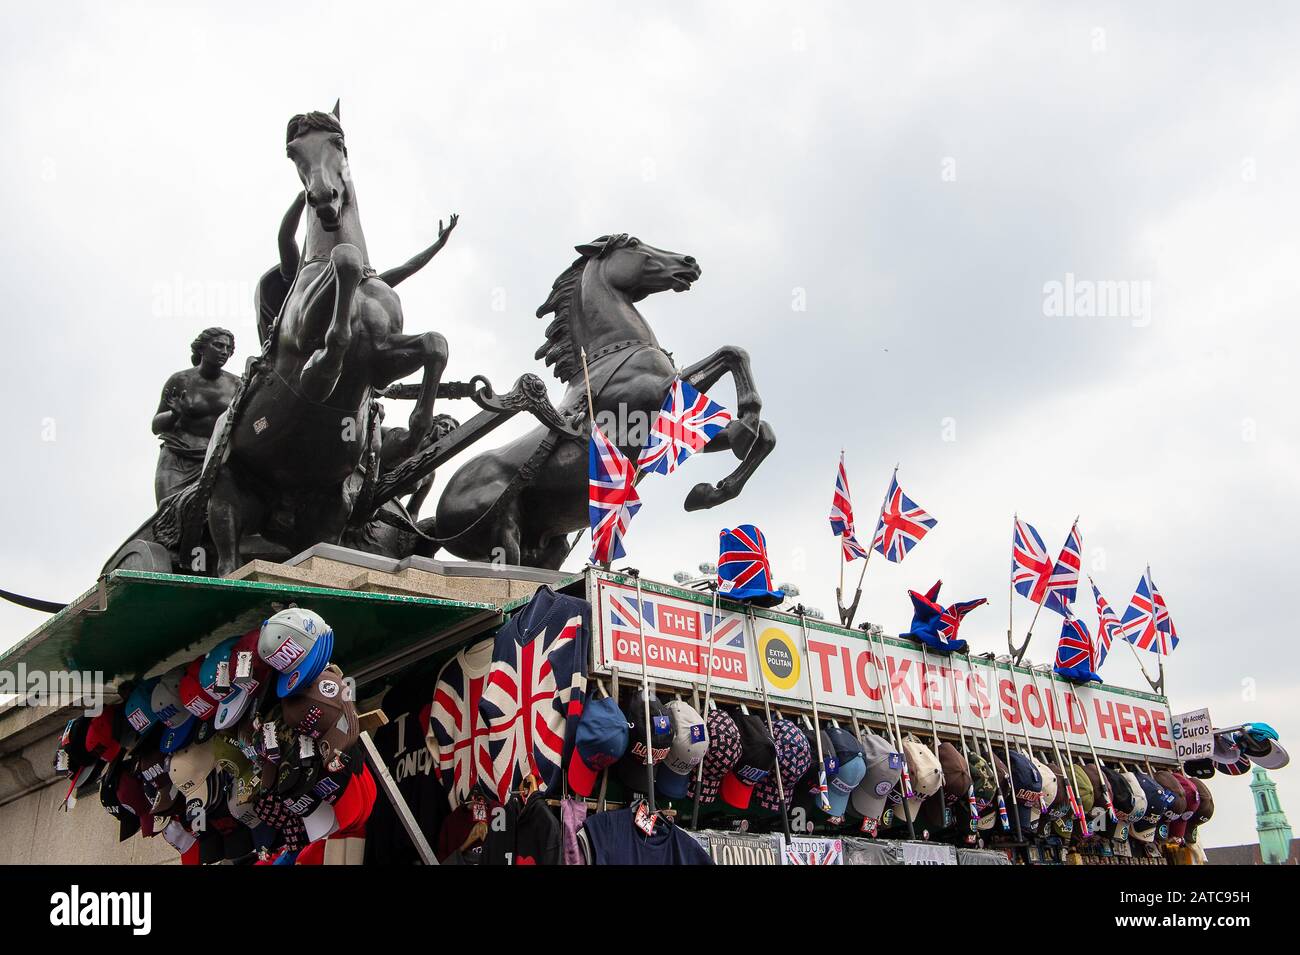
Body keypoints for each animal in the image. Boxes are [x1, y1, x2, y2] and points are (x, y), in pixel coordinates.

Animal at [204, 108, 447, 579]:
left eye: (339, 143)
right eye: (292, 152)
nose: (322, 199)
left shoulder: (381, 358)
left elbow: (435, 343)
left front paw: (416, 430)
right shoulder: (302, 336)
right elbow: (344, 262)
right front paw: (323, 369)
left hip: (329, 505)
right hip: (225, 491)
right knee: (226, 562)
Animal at [436, 233, 774, 566]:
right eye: (633, 243)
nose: (689, 262)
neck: (613, 354)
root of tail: (438, 516)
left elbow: (762, 429)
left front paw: (710, 490)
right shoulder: (648, 411)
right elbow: (733, 355)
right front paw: (746, 424)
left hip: (550, 544)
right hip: (502, 530)